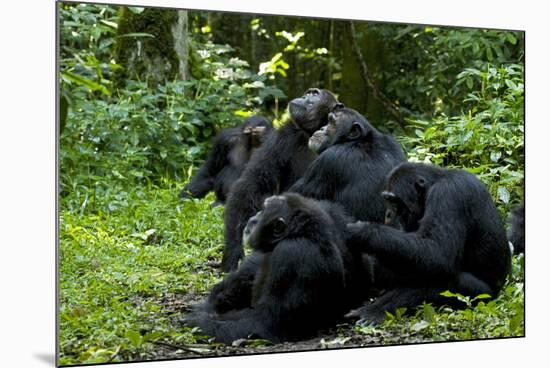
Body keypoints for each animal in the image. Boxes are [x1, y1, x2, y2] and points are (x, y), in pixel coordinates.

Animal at [184, 194, 376, 344]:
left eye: (263, 210)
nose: (254, 217)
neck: (301, 232)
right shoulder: (332, 212)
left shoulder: (294, 253)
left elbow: (268, 321)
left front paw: (198, 321)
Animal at [221, 87, 340, 272]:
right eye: (309, 93)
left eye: (315, 94)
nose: (305, 96)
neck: (312, 132)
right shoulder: (282, 137)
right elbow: (253, 183)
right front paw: (233, 249)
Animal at [350, 162, 512, 324]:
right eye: (387, 200)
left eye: (394, 201)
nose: (388, 214)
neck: (434, 183)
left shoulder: (448, 195)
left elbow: (438, 252)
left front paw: (364, 231)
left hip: (479, 297)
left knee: (444, 279)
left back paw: (375, 310)